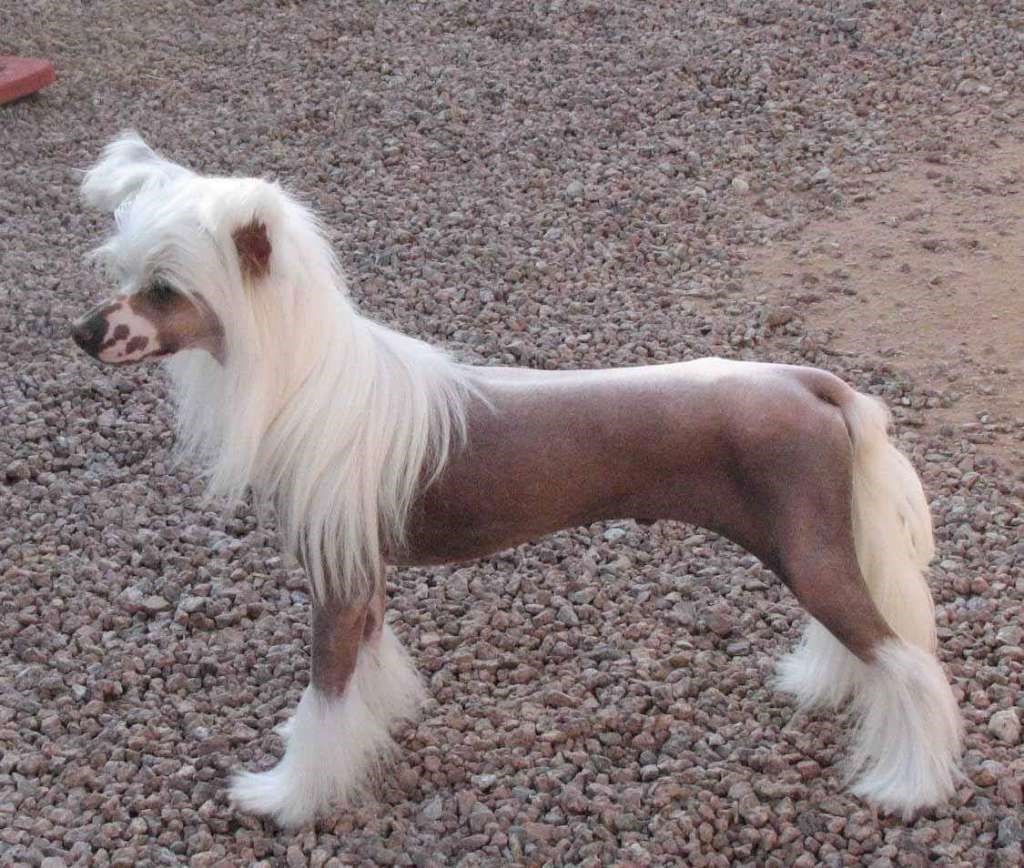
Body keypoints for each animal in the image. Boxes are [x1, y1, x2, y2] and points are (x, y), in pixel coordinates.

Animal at [71, 134, 962, 828]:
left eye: (163, 290)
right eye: (122, 274)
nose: (81, 333)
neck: (311, 380)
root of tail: (809, 382)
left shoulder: (336, 582)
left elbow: (324, 696)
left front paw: (286, 797)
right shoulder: (367, 578)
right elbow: (363, 676)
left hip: (809, 549)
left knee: (909, 662)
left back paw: (909, 786)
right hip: (809, 542)